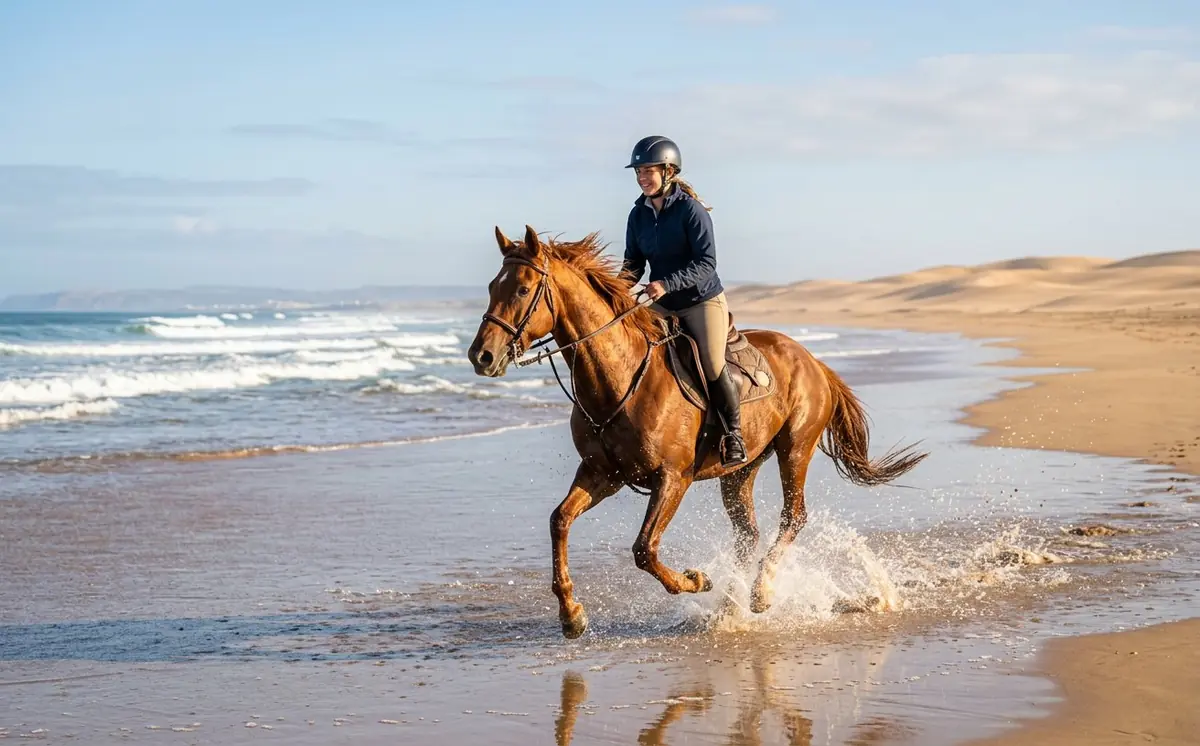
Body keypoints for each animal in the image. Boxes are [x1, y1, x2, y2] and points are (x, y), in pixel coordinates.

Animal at [467, 225, 927, 639]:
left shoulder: (673, 478)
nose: (481, 356)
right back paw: (730, 606)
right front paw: (571, 614)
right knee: (748, 534)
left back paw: (760, 593)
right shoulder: (602, 474)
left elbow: (644, 549)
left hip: (795, 448)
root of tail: (813, 361)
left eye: (523, 290)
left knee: (793, 516)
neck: (620, 376)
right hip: (740, 470)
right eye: (492, 286)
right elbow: (559, 521)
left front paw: (696, 580)